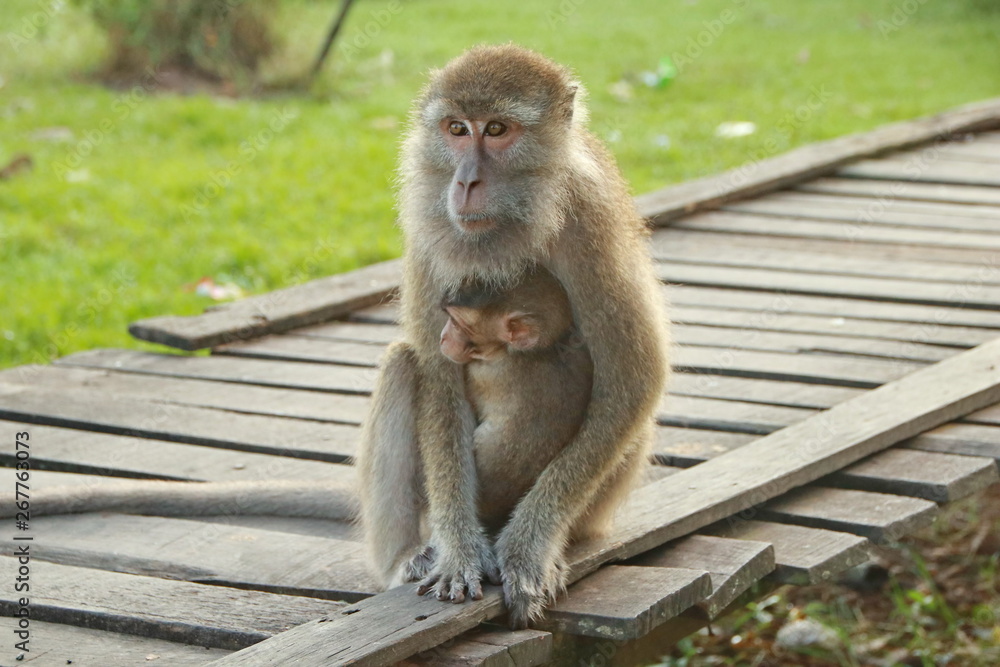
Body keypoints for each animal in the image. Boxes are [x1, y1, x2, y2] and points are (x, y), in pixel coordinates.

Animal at [358, 44, 670, 627]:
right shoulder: (429, 225)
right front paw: (459, 550)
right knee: (404, 362)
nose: (465, 182)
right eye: (457, 129)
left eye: (498, 129)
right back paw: (408, 556)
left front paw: (529, 545)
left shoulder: (591, 215)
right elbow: (438, 375)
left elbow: (634, 377)